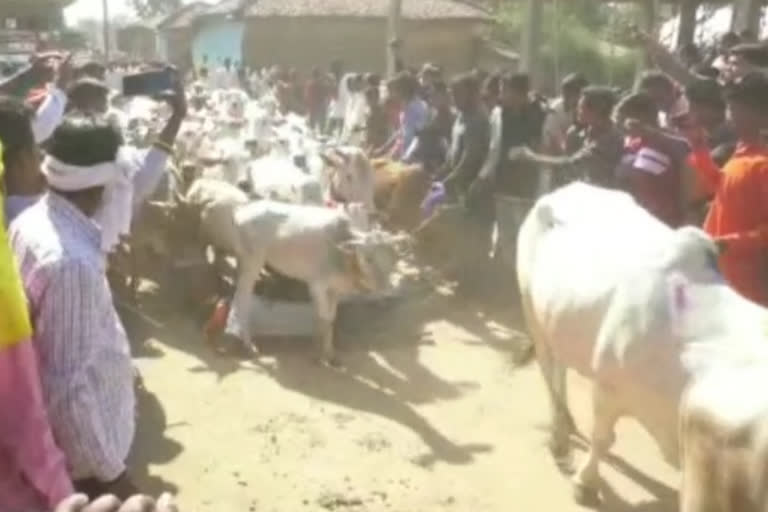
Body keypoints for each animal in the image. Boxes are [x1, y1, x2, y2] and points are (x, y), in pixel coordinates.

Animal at [512, 183, 768, 504]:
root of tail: (566, 189)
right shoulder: (608, 387)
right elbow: (603, 439)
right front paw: (585, 483)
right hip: (531, 309)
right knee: (549, 370)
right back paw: (559, 435)